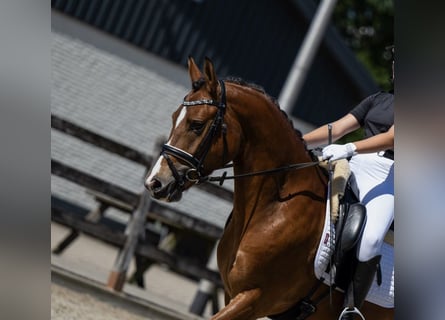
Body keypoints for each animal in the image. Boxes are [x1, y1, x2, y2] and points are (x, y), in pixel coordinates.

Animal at [146, 58, 392, 320]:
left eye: (197, 125)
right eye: (174, 117)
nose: (155, 182)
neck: (275, 206)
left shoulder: (255, 298)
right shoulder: (231, 294)